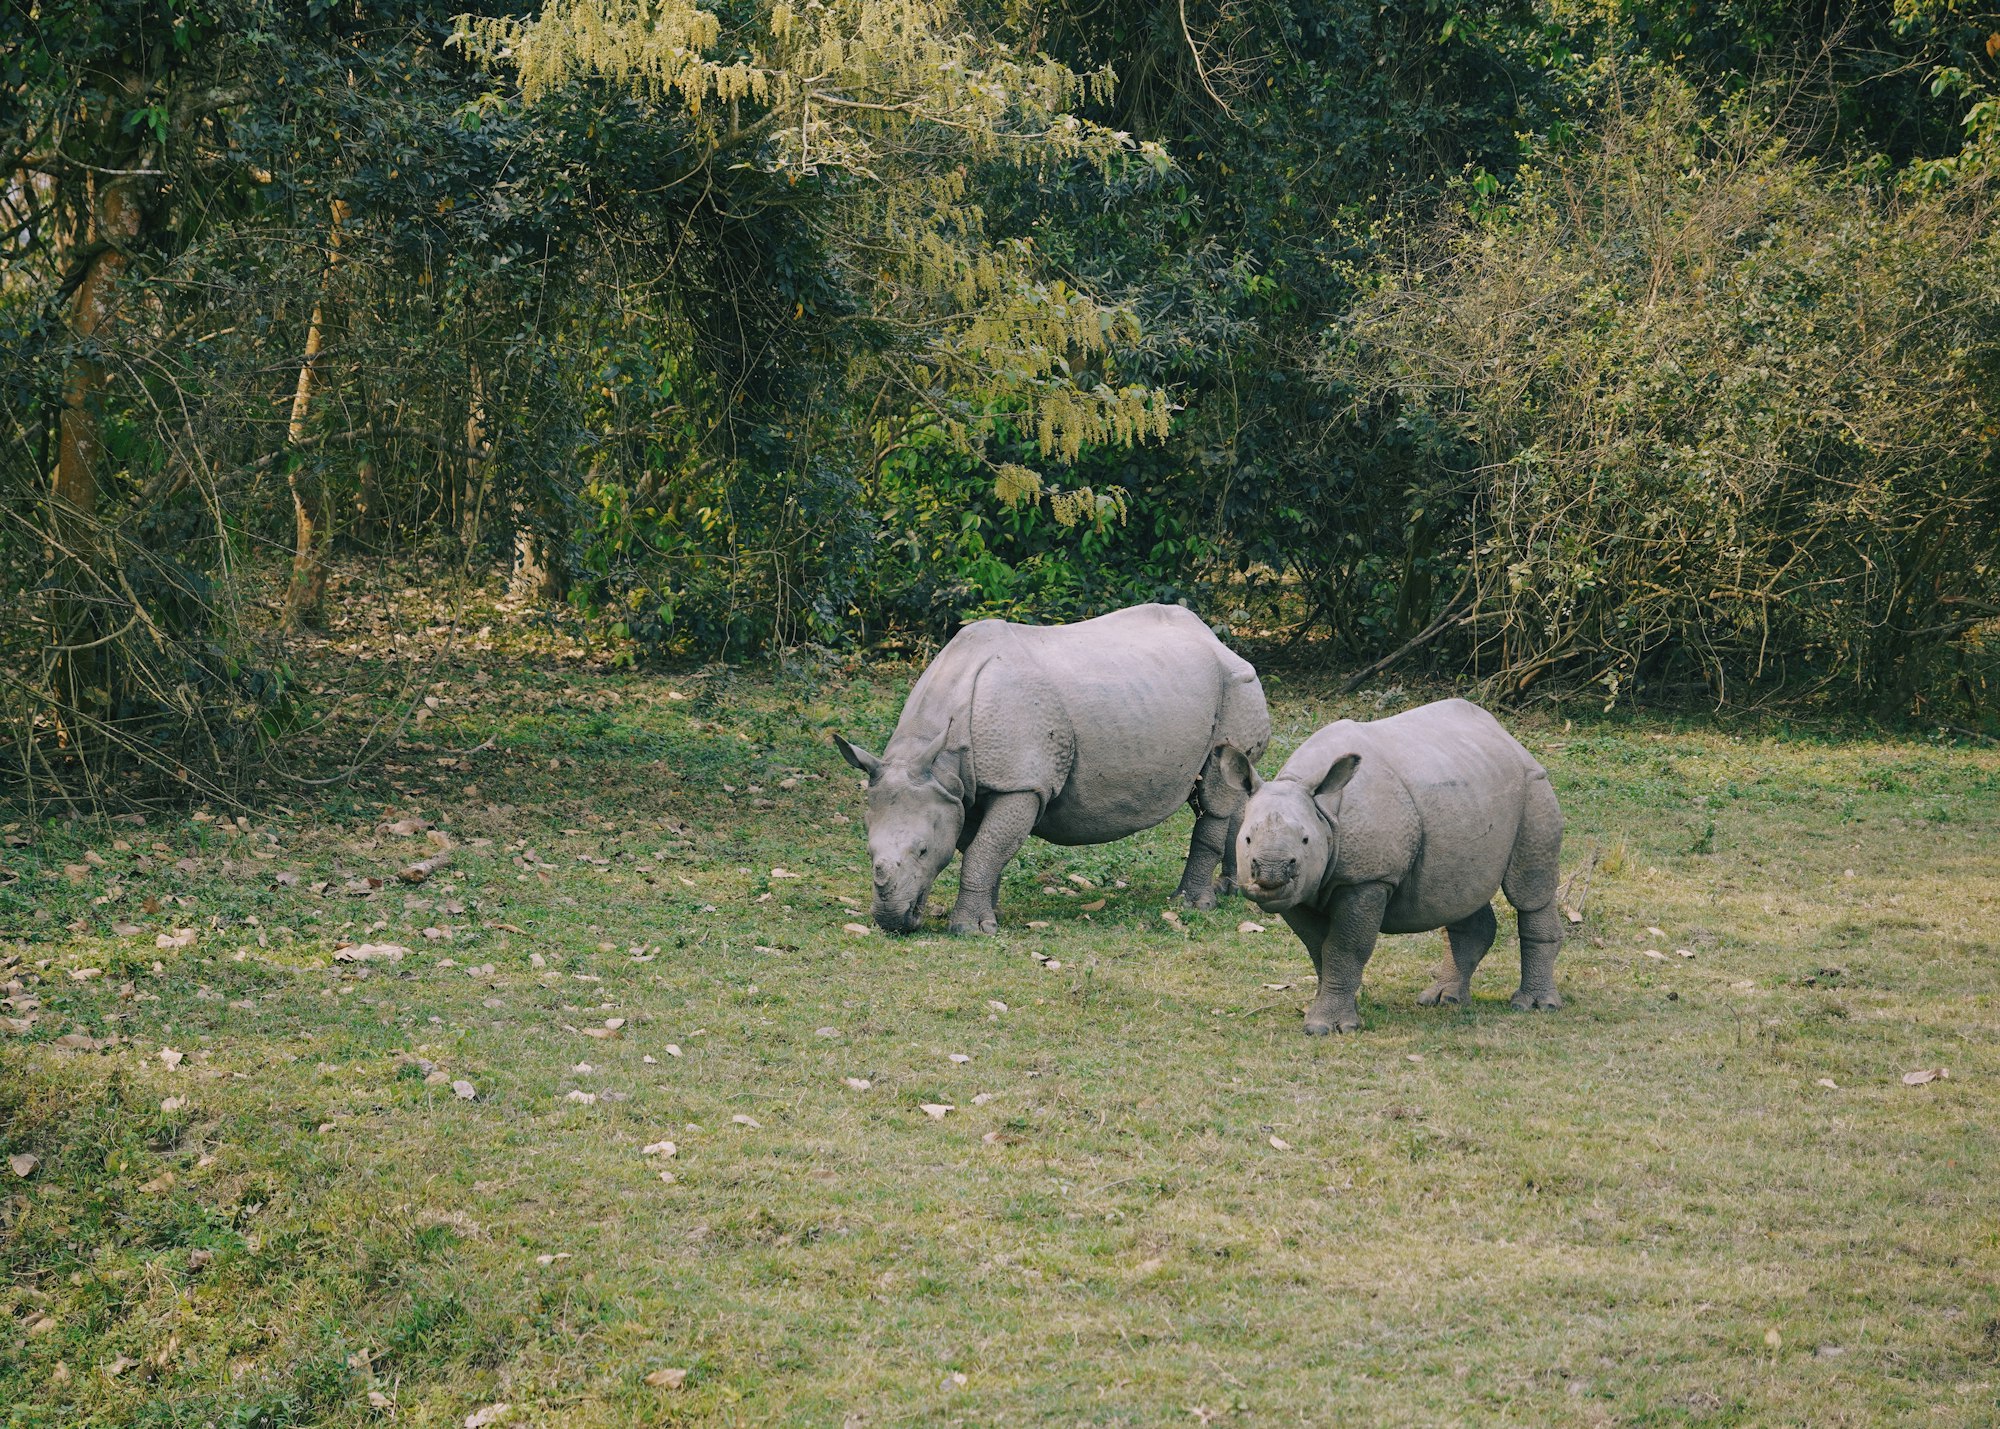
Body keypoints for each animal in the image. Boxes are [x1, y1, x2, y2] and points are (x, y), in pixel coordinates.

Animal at [833, 604, 1270, 934]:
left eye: (923, 850)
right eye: (867, 849)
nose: (892, 922)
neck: (938, 757)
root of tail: (1217, 640)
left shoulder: (1022, 783)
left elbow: (984, 850)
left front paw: (970, 929)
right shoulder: (964, 788)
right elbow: (983, 848)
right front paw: (991, 917)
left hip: (1238, 685)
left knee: (1214, 793)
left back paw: (1190, 906)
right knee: (1230, 788)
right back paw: (1231, 890)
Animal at [1213, 698, 1564, 1034]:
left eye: (1305, 840)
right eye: (1246, 839)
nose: (1271, 872)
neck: (1323, 812)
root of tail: (1507, 736)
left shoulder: (1367, 879)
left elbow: (1344, 948)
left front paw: (1328, 1026)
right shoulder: (1300, 892)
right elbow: (1318, 948)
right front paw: (1326, 1013)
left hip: (1534, 784)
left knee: (1530, 892)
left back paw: (1534, 1005)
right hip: (1469, 787)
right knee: (1460, 894)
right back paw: (1444, 1000)